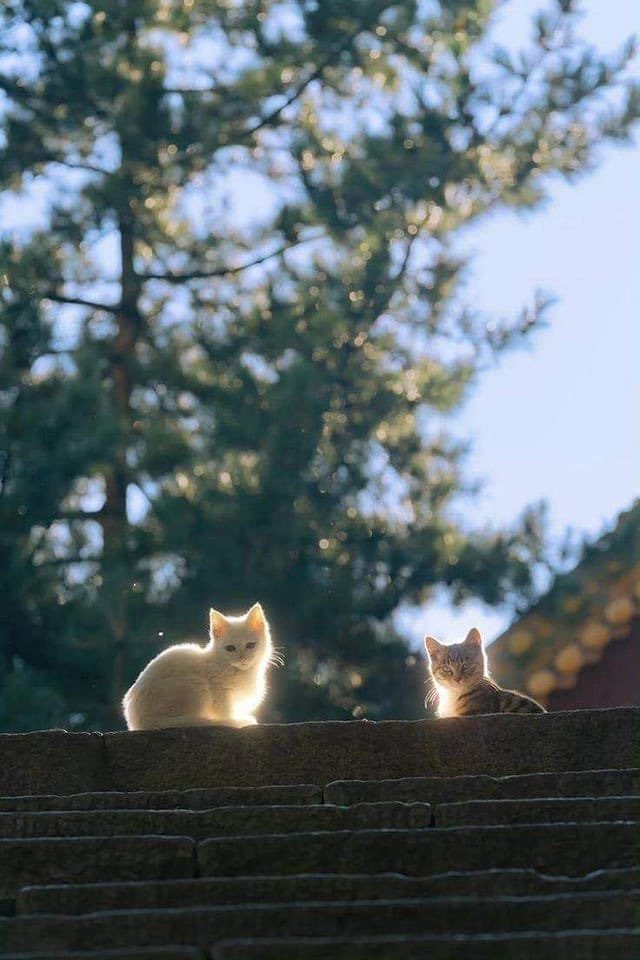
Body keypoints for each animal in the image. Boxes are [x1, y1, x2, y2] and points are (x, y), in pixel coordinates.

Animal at [124, 604, 274, 732]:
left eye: (250, 645)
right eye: (230, 648)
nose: (242, 659)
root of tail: (139, 721)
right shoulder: (219, 690)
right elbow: (225, 712)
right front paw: (234, 721)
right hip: (197, 683)